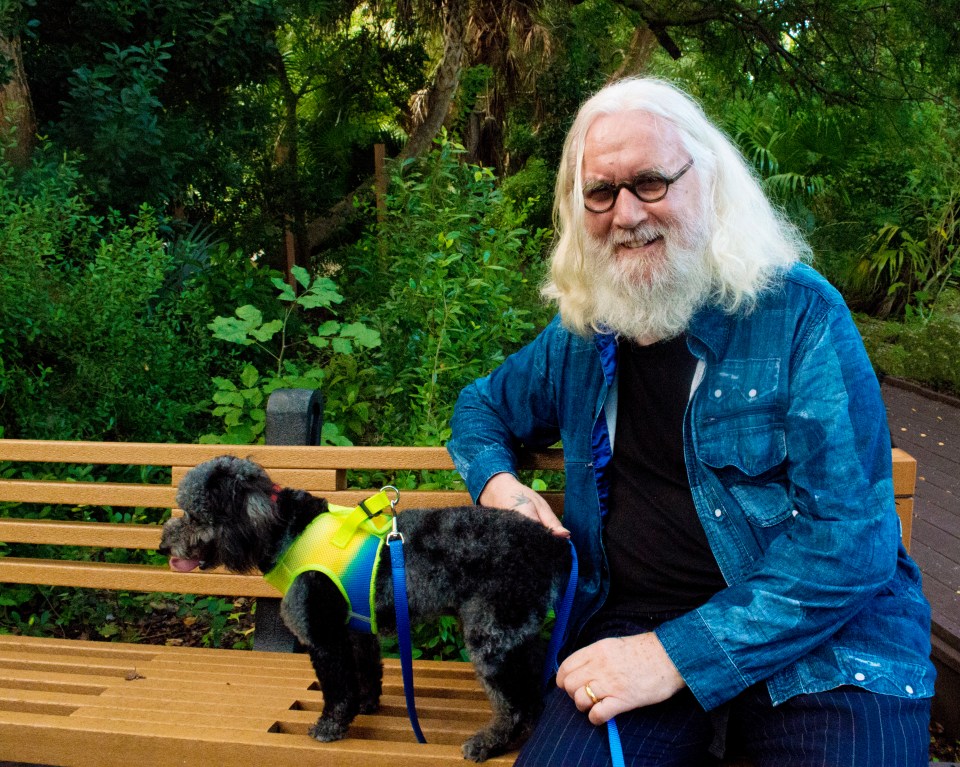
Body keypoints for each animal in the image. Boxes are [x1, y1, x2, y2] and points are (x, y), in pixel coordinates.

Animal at [161, 456, 572, 760]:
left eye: (193, 515)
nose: (164, 546)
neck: (288, 530)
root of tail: (548, 543)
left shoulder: (323, 635)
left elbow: (337, 689)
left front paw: (330, 727)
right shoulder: (356, 627)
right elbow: (366, 672)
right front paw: (367, 705)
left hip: (492, 635)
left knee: (515, 703)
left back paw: (489, 743)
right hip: (515, 632)